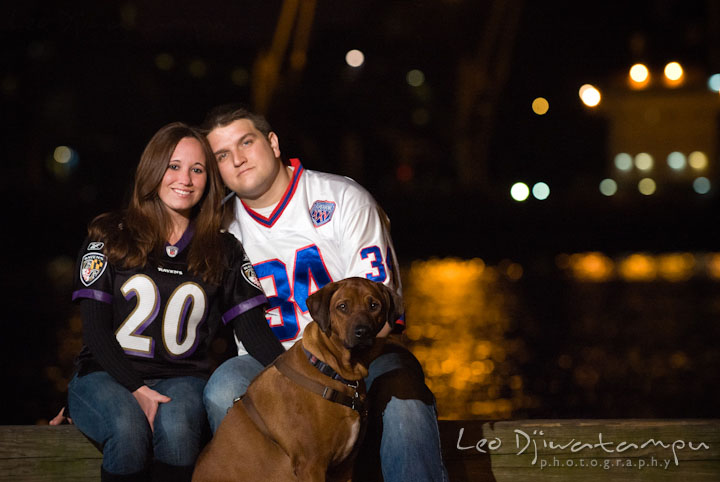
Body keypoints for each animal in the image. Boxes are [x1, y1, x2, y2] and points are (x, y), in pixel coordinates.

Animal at [194, 276, 402, 480]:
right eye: (342, 306)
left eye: (374, 306)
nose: (362, 332)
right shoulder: (311, 465)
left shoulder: (345, 468)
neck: (334, 372)